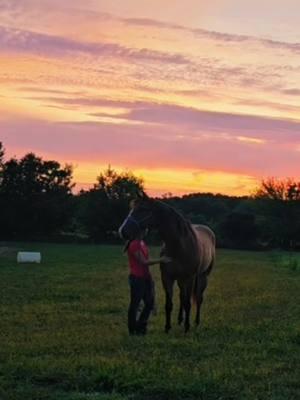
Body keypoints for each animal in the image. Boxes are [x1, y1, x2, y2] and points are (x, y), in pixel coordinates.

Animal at [119, 192, 216, 332]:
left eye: (143, 209)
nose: (122, 231)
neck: (179, 246)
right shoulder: (167, 278)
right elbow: (169, 304)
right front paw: (167, 327)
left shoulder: (189, 278)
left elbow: (188, 303)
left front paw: (187, 327)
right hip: (181, 280)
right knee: (182, 297)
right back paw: (180, 319)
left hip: (202, 276)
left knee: (198, 298)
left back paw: (196, 321)